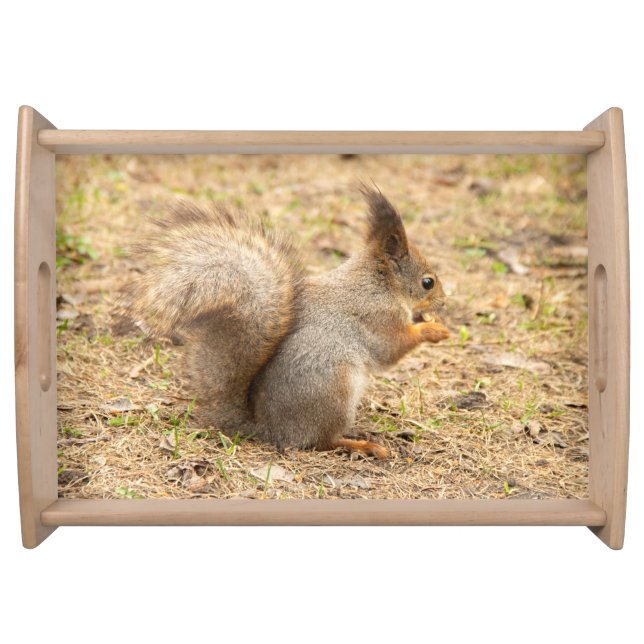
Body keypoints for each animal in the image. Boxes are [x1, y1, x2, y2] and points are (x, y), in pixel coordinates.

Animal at [119, 185, 449, 459]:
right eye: (428, 282)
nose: (444, 303)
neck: (378, 284)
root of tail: (268, 429)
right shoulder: (378, 317)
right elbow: (391, 349)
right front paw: (433, 329)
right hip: (333, 390)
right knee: (320, 441)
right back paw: (361, 445)